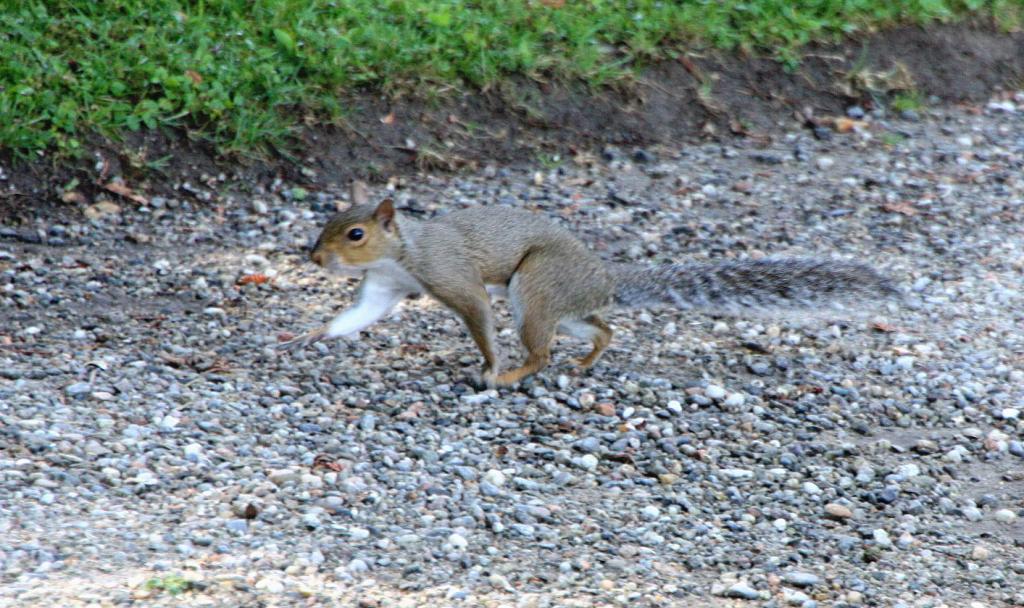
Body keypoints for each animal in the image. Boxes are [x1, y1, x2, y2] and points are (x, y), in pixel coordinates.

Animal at [278, 182, 897, 384]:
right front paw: (305, 337)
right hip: (563, 307)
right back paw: (588, 360)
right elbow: (352, 319)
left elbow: (477, 316)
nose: (314, 257)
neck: (403, 252)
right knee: (603, 328)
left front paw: (490, 368)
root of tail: (601, 275)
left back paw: (515, 377)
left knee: (541, 352)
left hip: (534, 290)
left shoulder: (451, 275)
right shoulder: (384, 288)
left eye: (355, 233)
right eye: (328, 221)